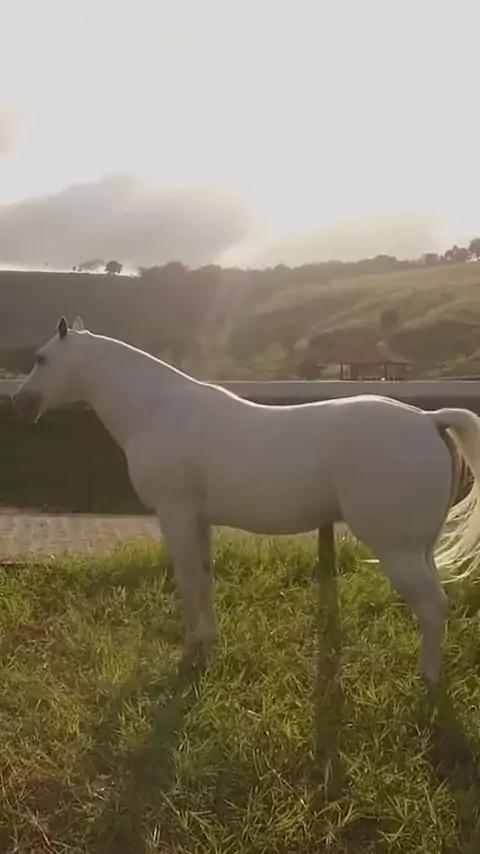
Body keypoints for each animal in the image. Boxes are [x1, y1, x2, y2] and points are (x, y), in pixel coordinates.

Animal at [11, 316, 480, 686]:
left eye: (42, 359)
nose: (21, 403)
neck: (159, 410)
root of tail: (428, 419)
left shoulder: (175, 514)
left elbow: (187, 580)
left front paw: (191, 649)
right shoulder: (198, 519)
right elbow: (204, 578)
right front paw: (210, 641)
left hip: (396, 549)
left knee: (433, 606)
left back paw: (428, 679)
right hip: (420, 548)